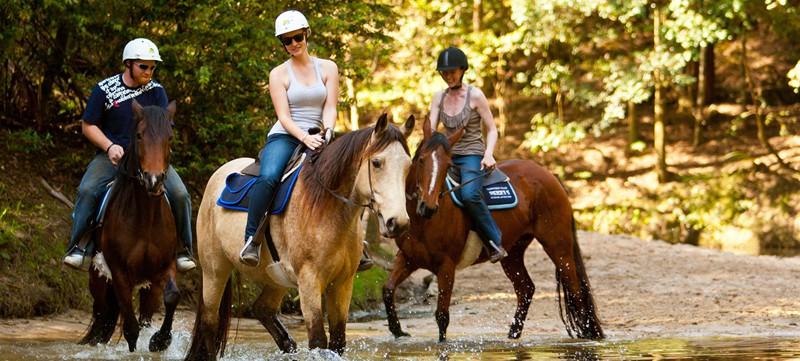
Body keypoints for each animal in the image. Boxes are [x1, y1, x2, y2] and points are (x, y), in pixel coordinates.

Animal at [79, 100, 180, 350]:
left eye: (170, 137)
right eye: (139, 135)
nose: (153, 179)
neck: (145, 218)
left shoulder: (164, 268)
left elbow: (172, 296)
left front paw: (160, 341)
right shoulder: (119, 274)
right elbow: (131, 330)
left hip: (148, 287)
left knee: (142, 317)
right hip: (99, 280)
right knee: (102, 314)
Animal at [185, 114, 416, 358]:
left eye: (408, 166)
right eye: (376, 162)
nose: (398, 222)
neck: (326, 208)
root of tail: (217, 175)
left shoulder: (342, 283)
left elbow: (337, 341)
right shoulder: (309, 281)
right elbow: (318, 340)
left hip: (276, 276)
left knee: (262, 308)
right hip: (215, 270)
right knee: (210, 323)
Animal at [384, 117, 604, 340]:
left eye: (447, 165)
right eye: (421, 160)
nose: (428, 207)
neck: (423, 222)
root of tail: (550, 176)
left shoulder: (446, 266)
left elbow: (442, 315)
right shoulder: (408, 258)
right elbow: (388, 289)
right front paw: (397, 330)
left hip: (558, 246)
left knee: (575, 289)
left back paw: (588, 333)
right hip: (513, 253)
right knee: (526, 288)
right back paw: (513, 334)